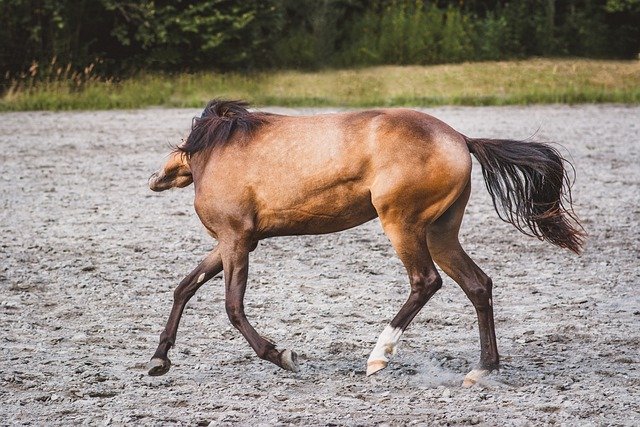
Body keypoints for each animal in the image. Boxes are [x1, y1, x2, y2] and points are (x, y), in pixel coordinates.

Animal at [147, 100, 584, 386]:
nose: (156, 178)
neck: (216, 153)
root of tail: (460, 139)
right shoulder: (232, 242)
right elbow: (184, 287)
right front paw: (158, 359)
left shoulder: (236, 240)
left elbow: (233, 308)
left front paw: (283, 356)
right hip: (440, 233)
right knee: (478, 285)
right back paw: (482, 369)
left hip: (402, 225)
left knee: (426, 282)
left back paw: (378, 357)